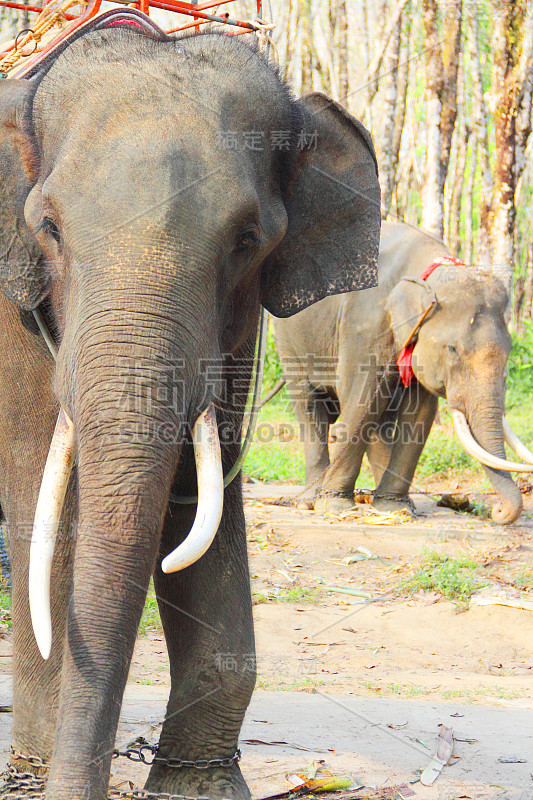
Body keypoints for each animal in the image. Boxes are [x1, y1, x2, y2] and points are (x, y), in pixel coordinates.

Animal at [0, 10, 380, 800]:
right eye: (48, 228)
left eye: (247, 239)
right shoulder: (15, 314)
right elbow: (43, 502)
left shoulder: (237, 336)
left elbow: (199, 496)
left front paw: (195, 787)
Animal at [272, 219, 528, 524]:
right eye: (452, 350)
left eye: (509, 349)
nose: (498, 511)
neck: (426, 272)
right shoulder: (363, 324)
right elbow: (359, 401)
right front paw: (335, 507)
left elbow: (419, 412)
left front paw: (396, 509)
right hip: (289, 340)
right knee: (311, 406)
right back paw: (309, 501)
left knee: (380, 417)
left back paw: (376, 498)